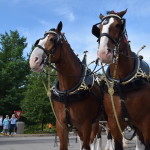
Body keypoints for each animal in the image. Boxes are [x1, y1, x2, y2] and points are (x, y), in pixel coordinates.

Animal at [29, 21, 103, 149]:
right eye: (38, 41)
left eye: (53, 39)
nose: (34, 60)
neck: (68, 91)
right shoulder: (61, 125)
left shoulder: (86, 124)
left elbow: (87, 145)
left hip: (96, 123)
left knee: (95, 140)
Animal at [92, 9, 150, 149]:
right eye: (99, 28)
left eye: (118, 25)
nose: (103, 53)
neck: (122, 82)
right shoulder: (113, 123)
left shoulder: (146, 123)